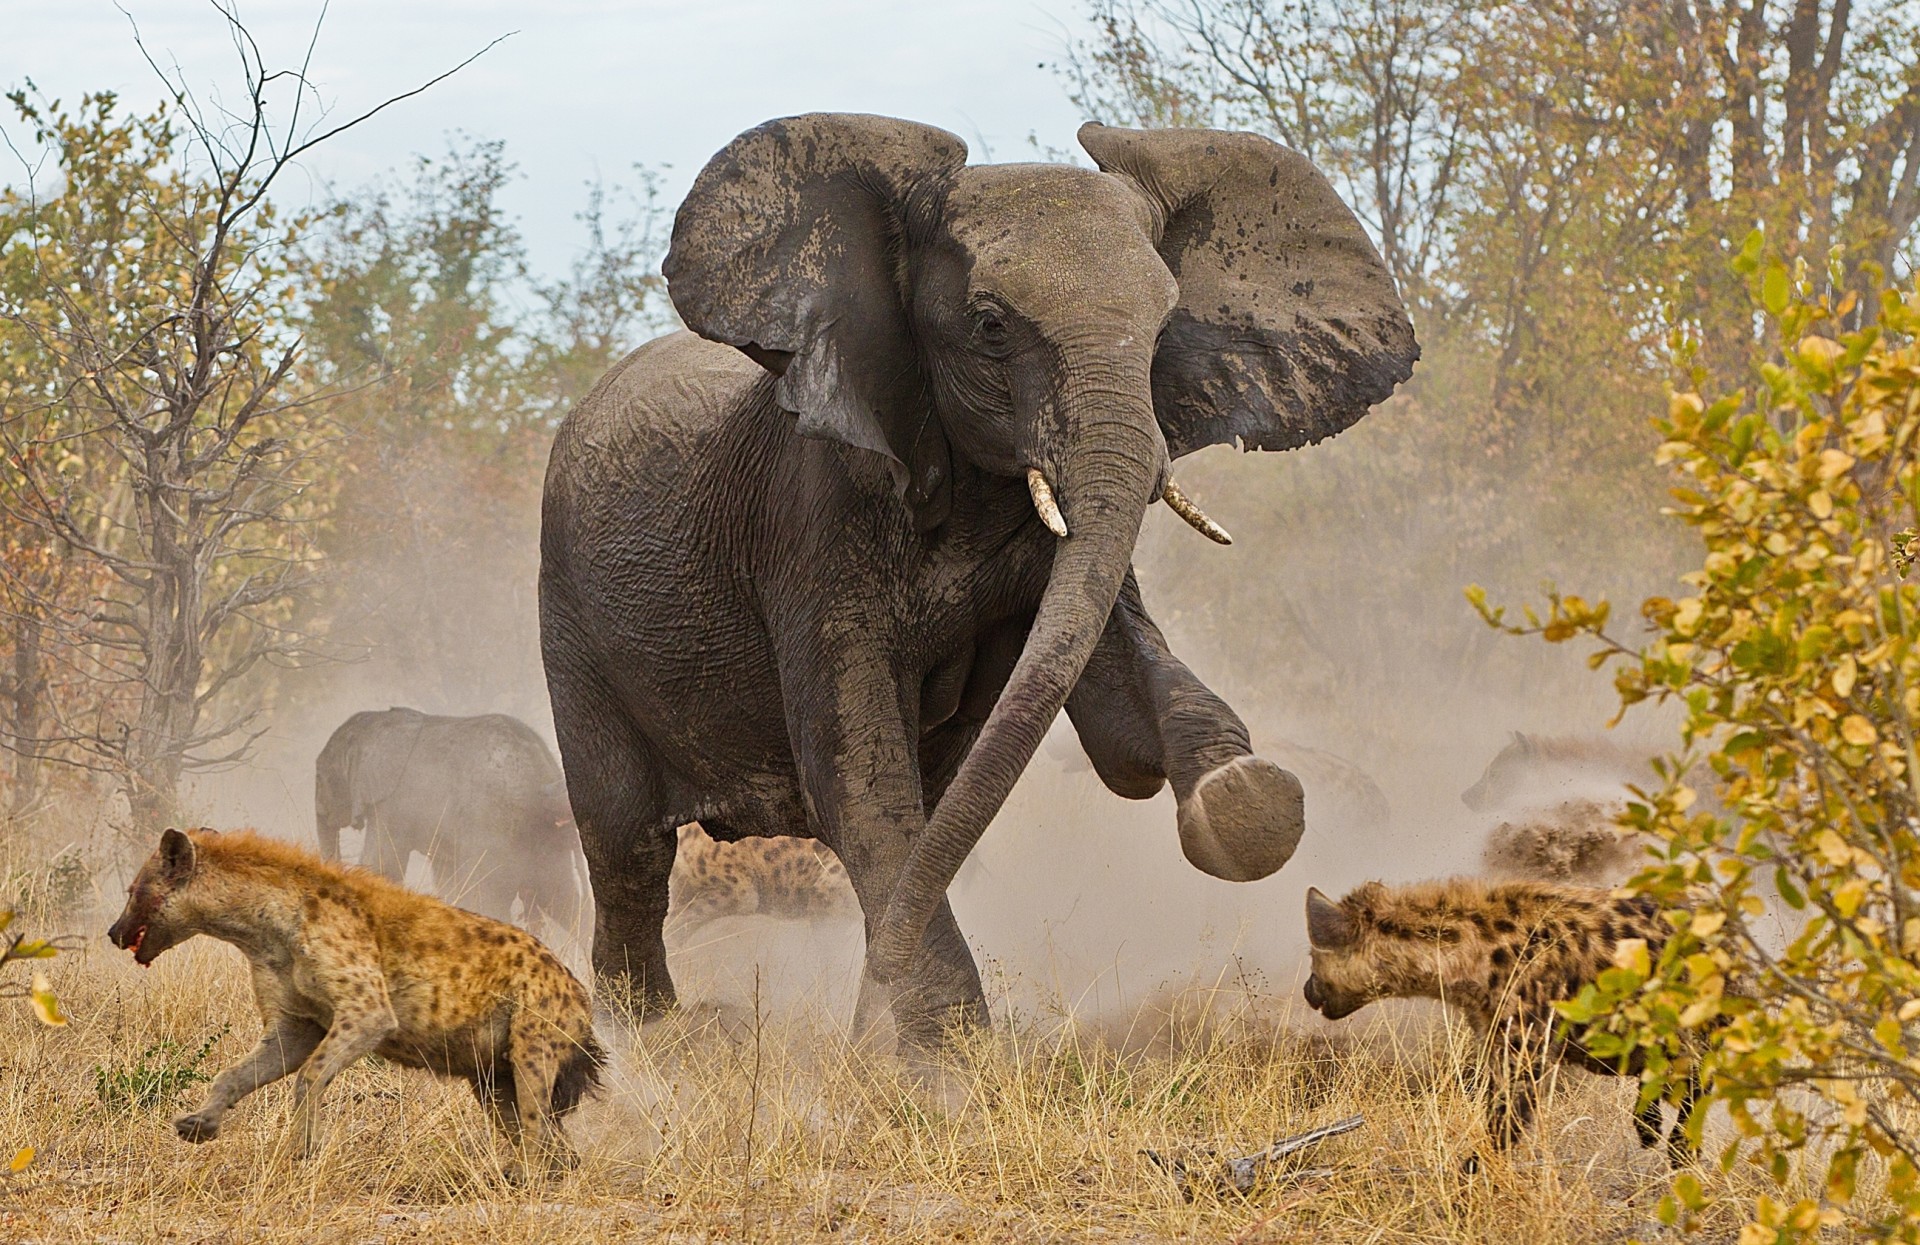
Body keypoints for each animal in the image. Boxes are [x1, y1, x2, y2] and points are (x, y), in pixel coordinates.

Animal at [313, 708, 584, 927]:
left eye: (321, 777)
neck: (376, 721)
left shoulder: (392, 804)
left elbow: (381, 863)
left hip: (494, 828)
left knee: (489, 897)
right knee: (565, 901)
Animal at [537, 114, 1417, 1047]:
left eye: (1162, 330)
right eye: (991, 326)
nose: (859, 1032)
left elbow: (1116, 710)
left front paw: (1244, 797)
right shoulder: (812, 515)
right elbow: (856, 771)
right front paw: (947, 1058)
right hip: (570, 616)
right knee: (627, 844)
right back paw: (647, 1037)